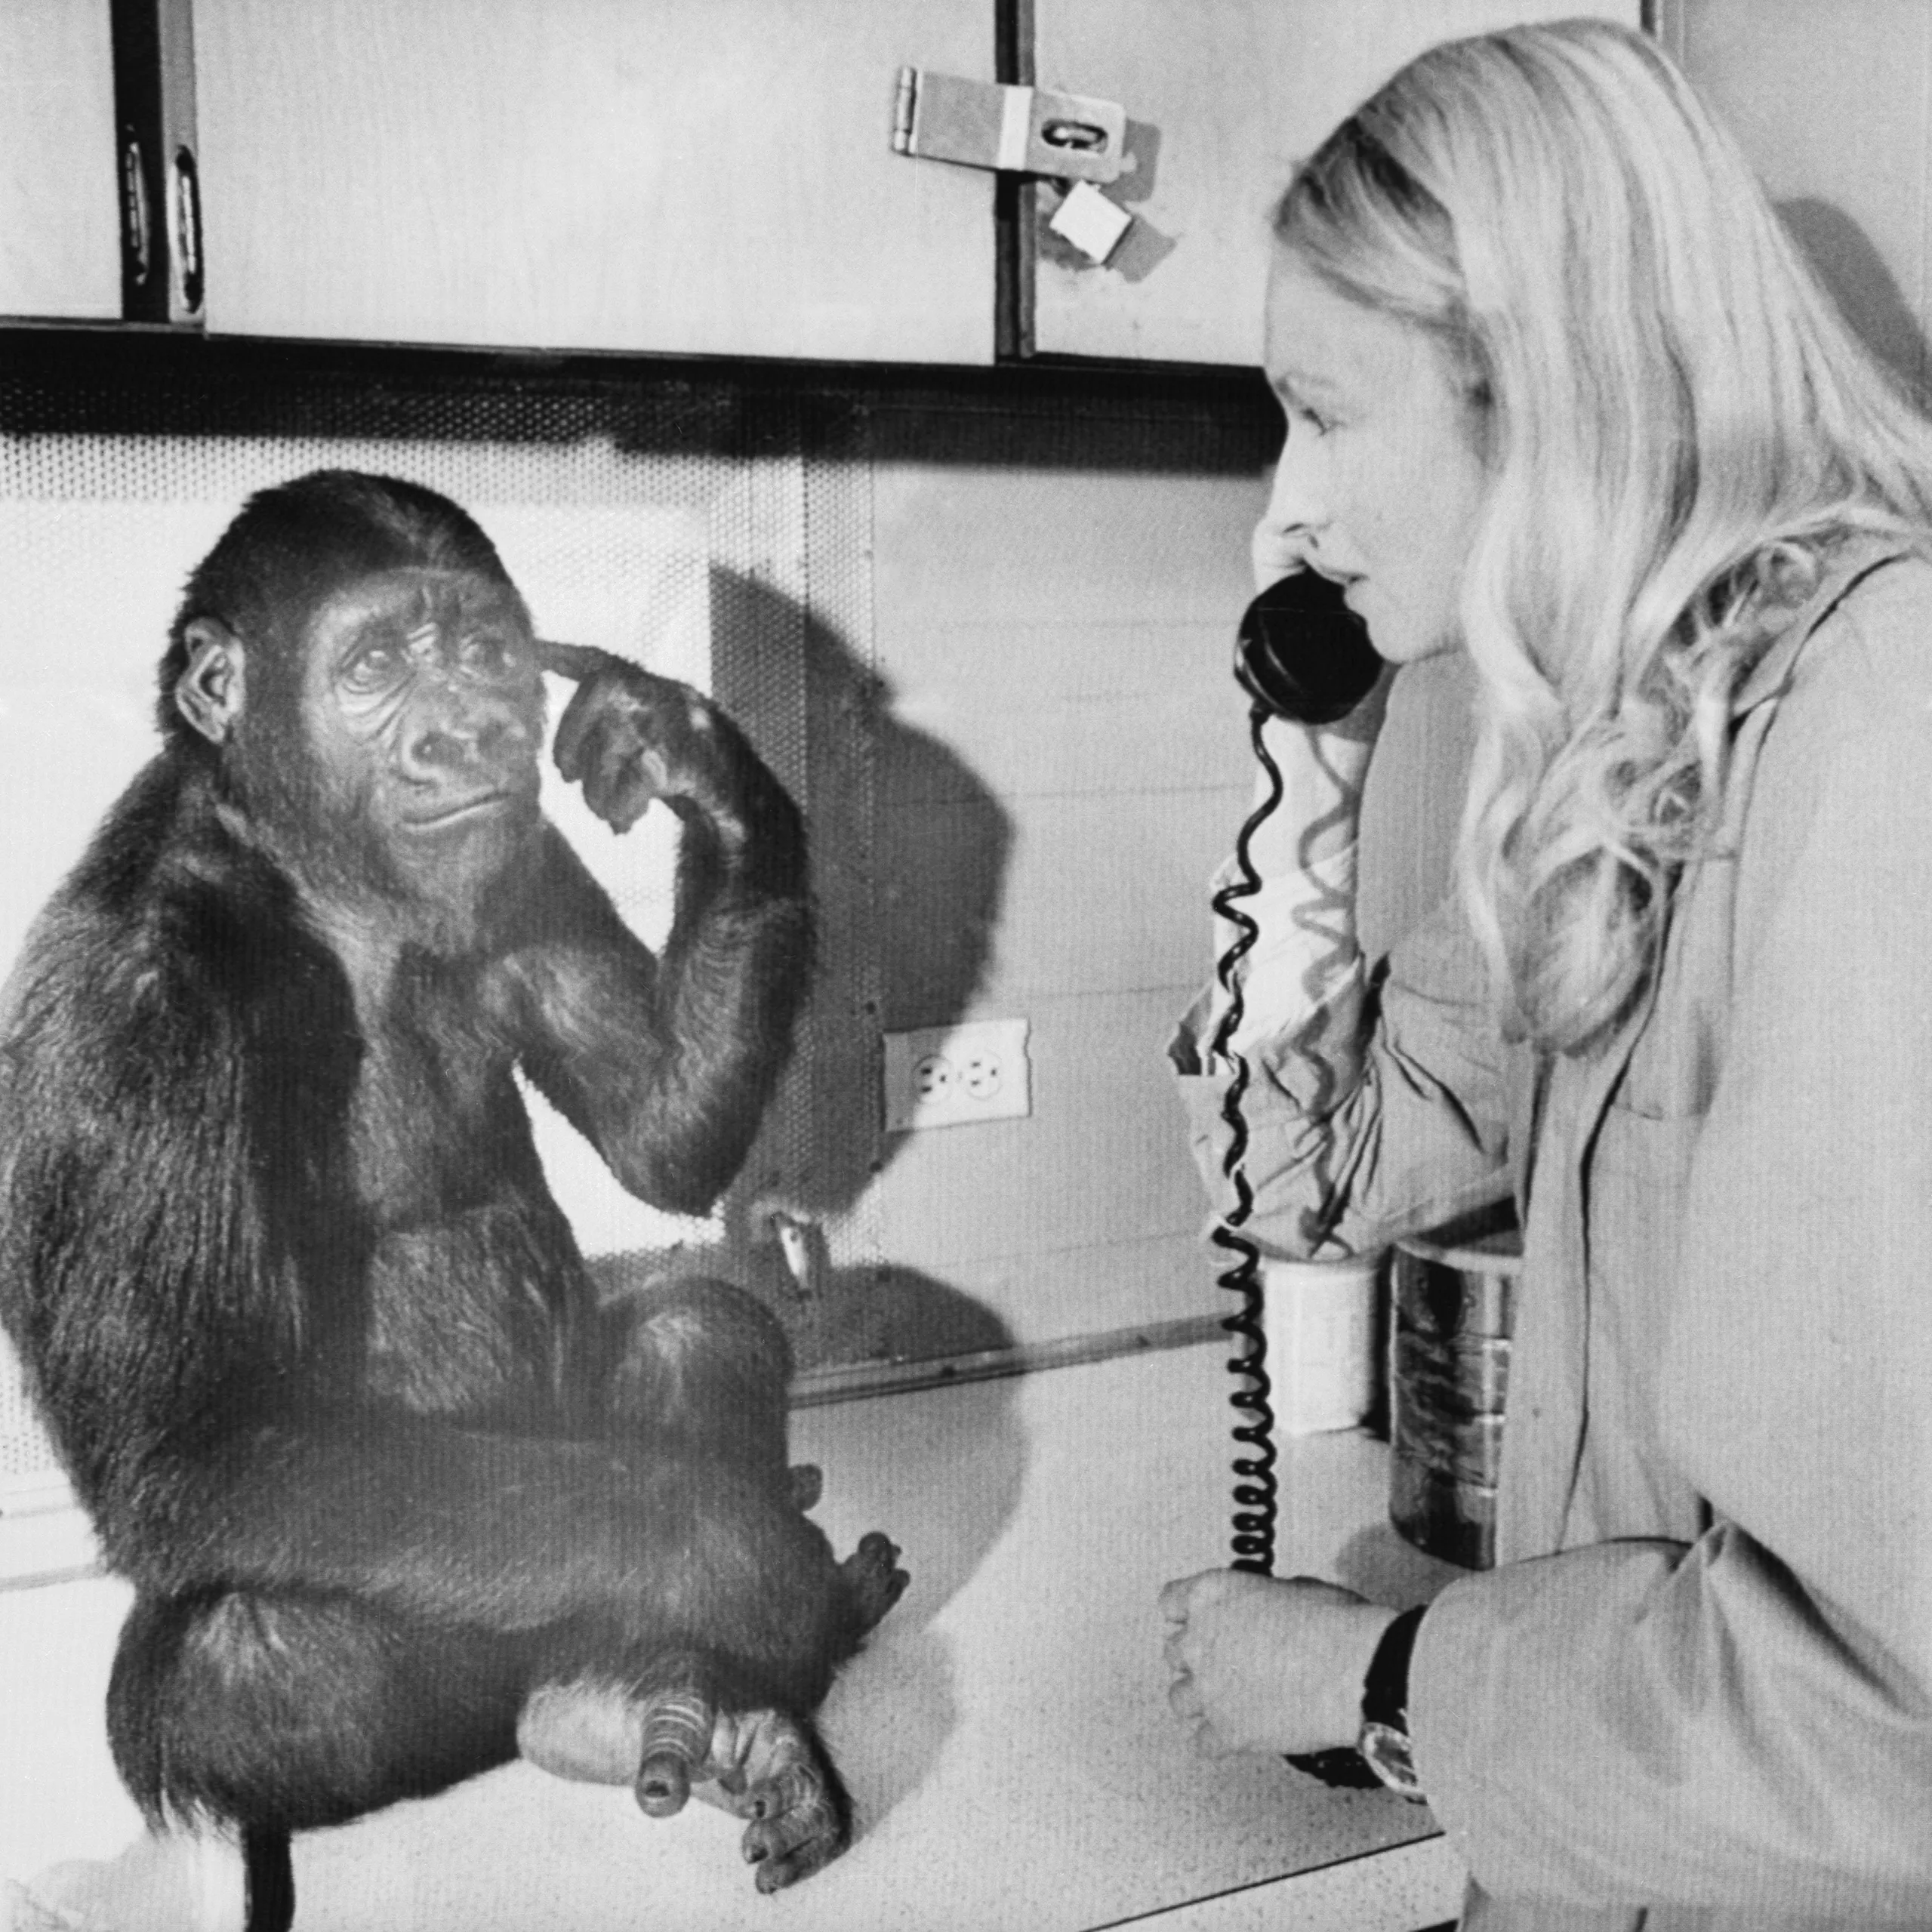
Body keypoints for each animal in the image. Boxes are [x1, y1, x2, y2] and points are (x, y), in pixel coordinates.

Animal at [0, 471, 907, 1901]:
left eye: (484, 652)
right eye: (372, 665)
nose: (464, 732)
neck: (317, 879)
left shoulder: (525, 851)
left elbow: (656, 1129)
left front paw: (695, 762)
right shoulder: (133, 1023)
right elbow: (192, 1448)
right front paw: (741, 1556)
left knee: (700, 1329)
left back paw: (648, 1695)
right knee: (252, 1650)